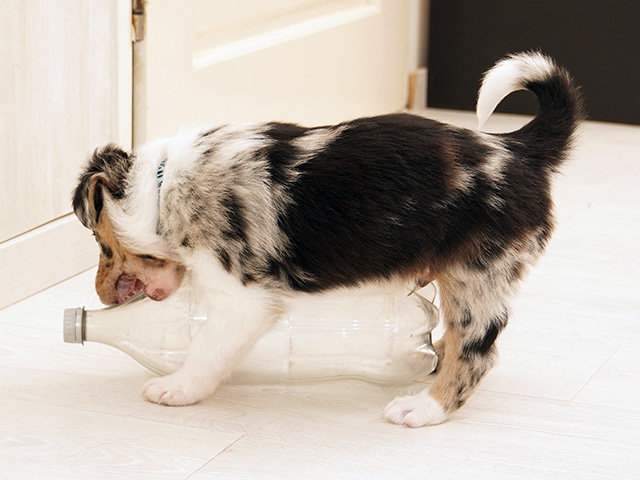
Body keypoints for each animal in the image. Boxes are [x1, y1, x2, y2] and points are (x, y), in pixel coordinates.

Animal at [72, 52, 583, 427]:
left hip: (477, 275)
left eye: (100, 245)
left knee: (476, 354)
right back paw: (429, 357)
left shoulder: (241, 300)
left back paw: (422, 408)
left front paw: (177, 388)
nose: (98, 295)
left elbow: (206, 350)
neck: (161, 189)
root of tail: (518, 148)